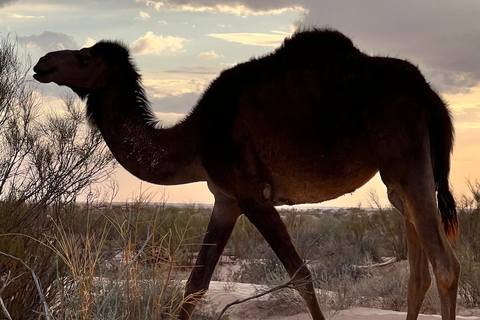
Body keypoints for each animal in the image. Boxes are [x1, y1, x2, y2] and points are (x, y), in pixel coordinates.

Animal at [31, 28, 460, 318]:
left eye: (84, 57)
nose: (42, 63)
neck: (196, 137)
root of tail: (430, 95)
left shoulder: (253, 194)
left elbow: (302, 276)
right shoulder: (226, 199)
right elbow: (195, 285)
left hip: (406, 153)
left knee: (446, 266)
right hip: (401, 176)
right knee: (418, 271)